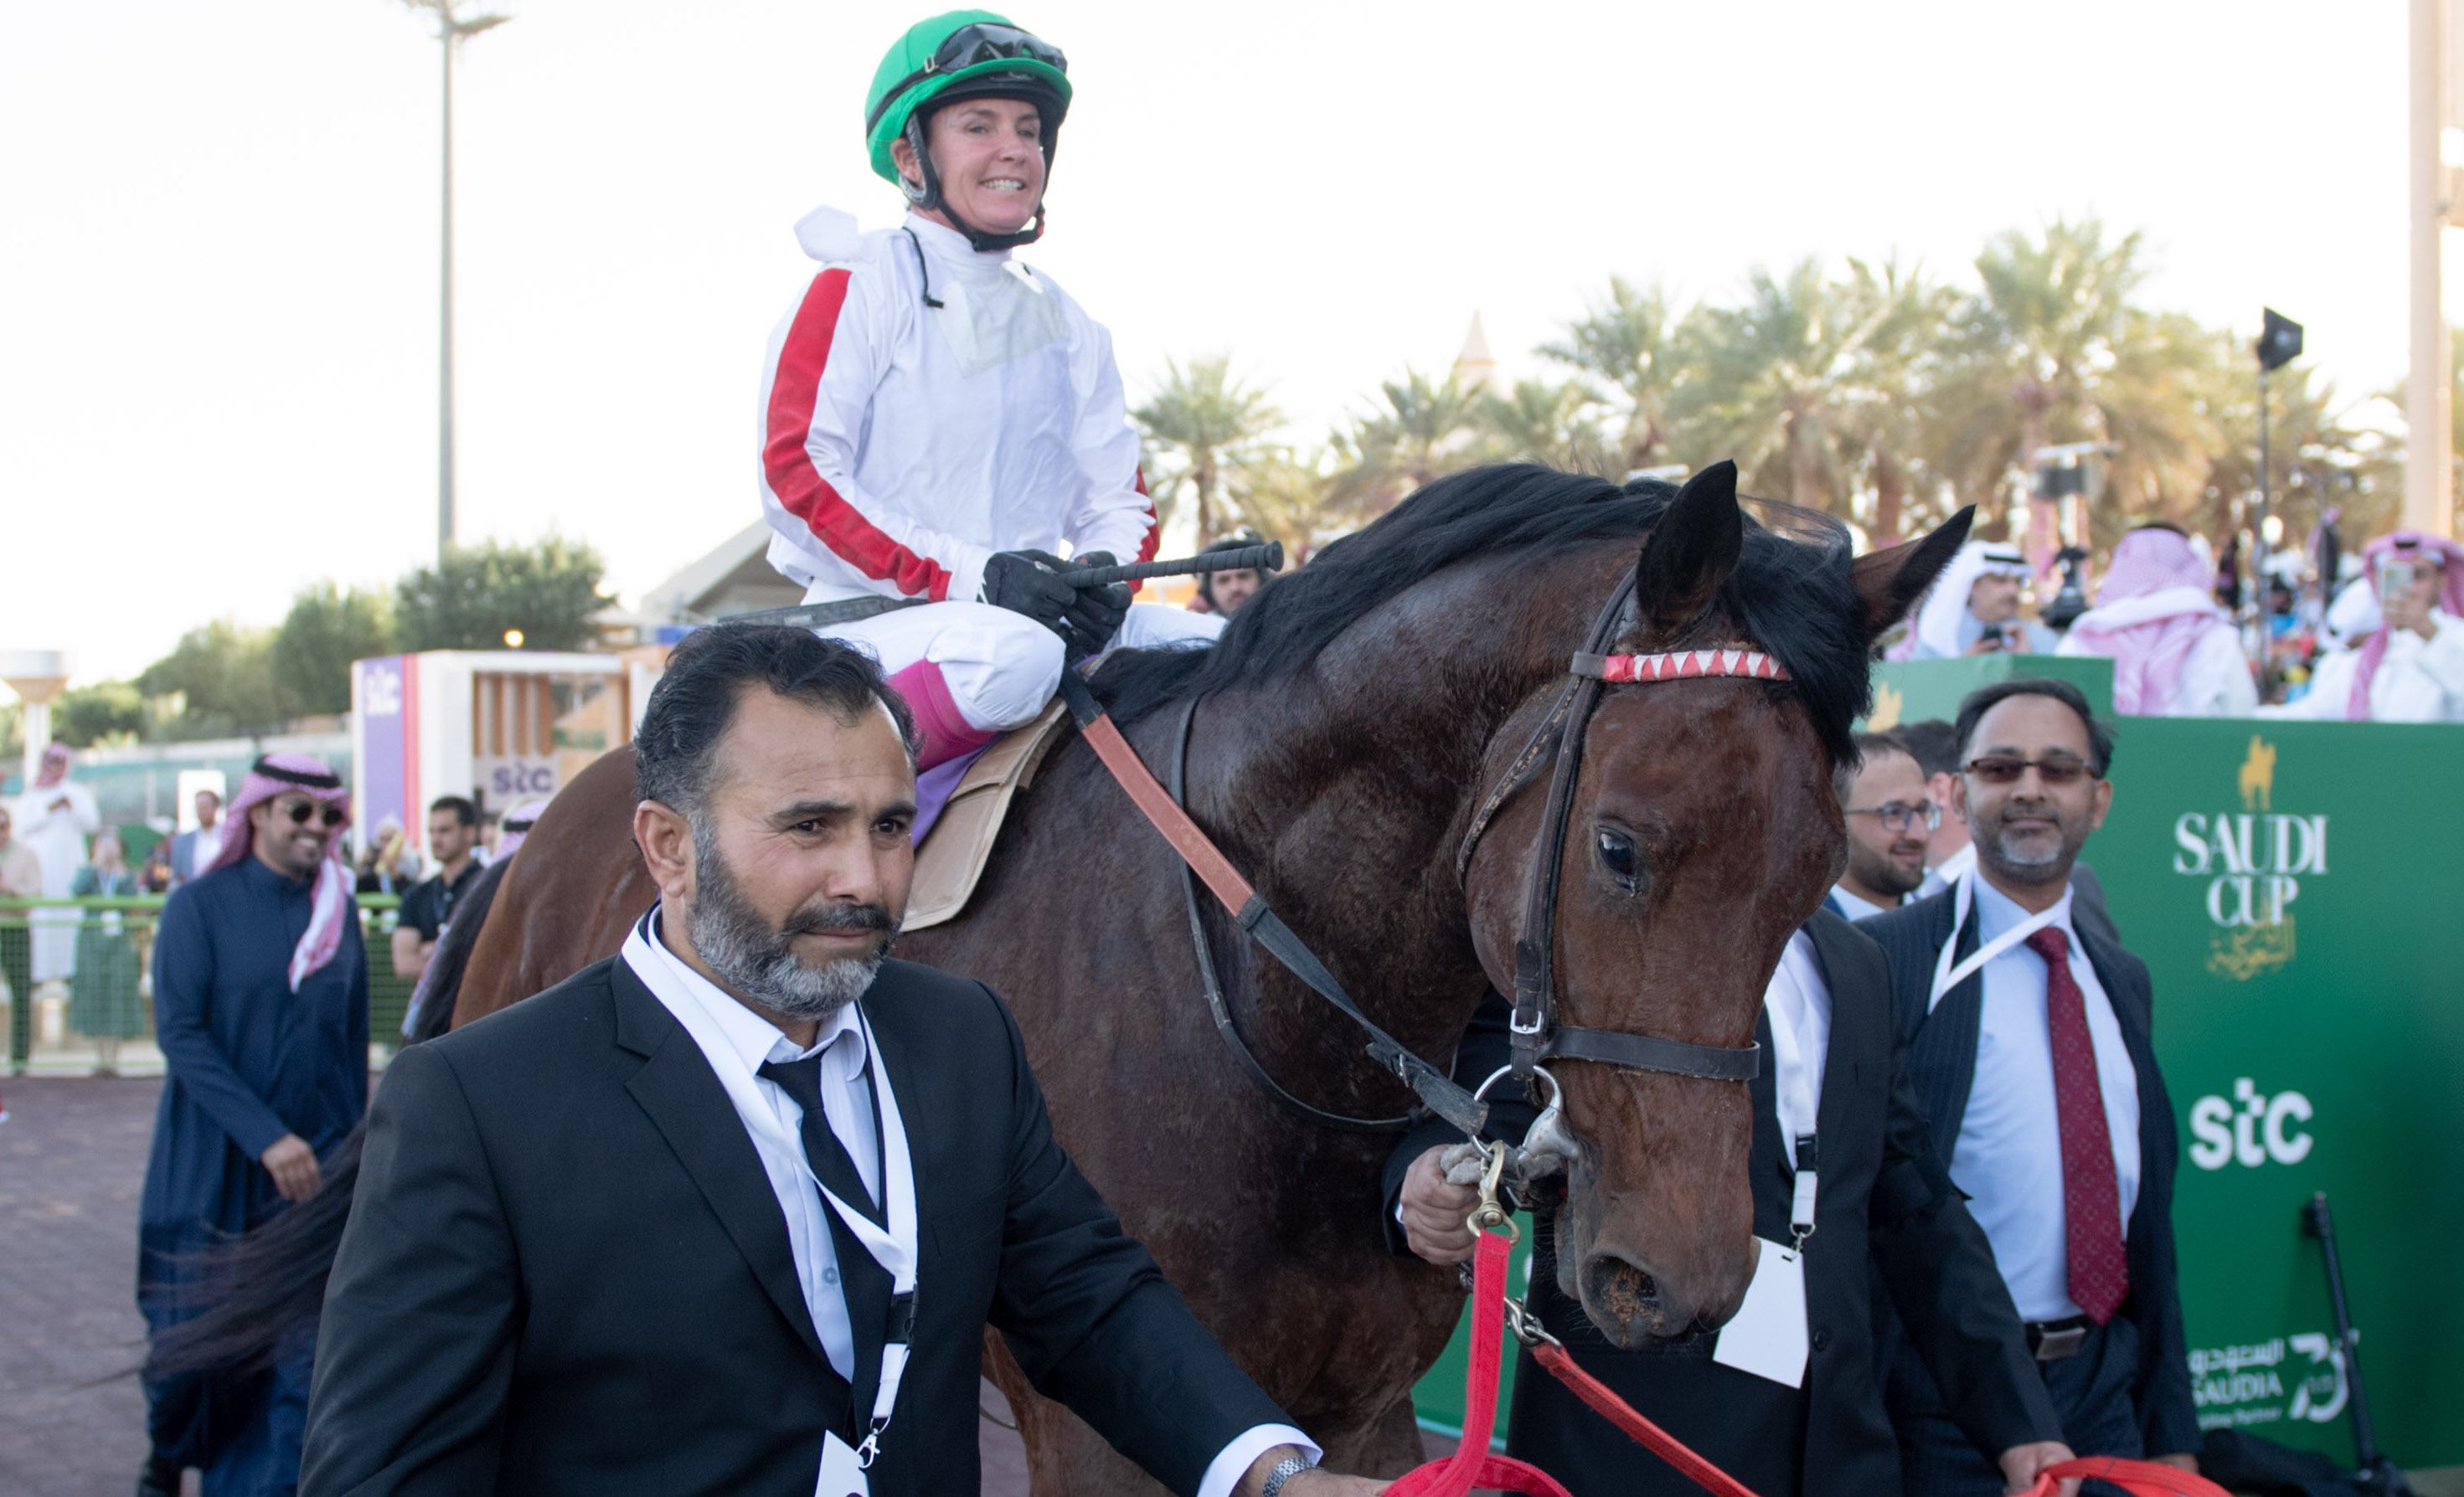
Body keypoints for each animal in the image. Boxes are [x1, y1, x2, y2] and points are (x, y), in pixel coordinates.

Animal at [448, 462, 1961, 1487]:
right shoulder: (1101, 1427)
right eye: (1620, 846)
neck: (1262, 1016)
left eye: (1818, 865)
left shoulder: (1357, 1415)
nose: (1685, 1277)